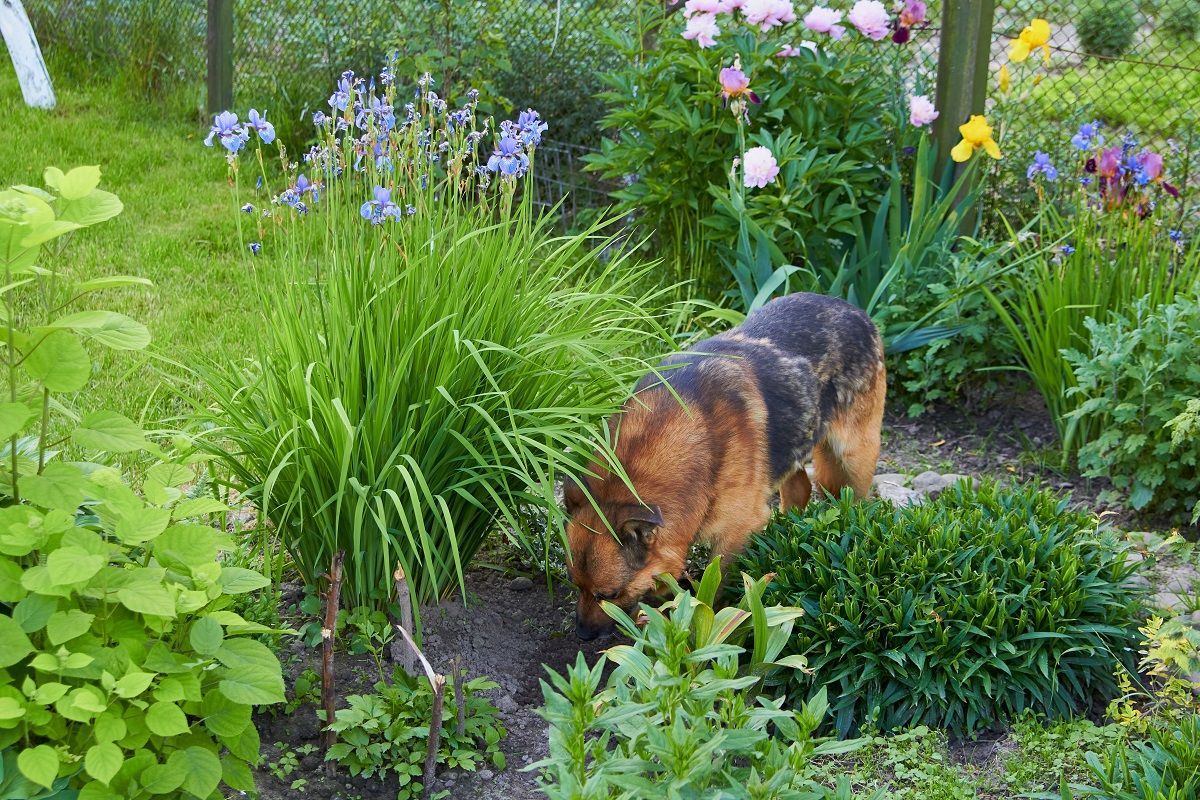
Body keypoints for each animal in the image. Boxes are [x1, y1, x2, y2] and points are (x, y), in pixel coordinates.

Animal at [566, 292, 888, 638]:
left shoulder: (737, 530)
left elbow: (715, 583)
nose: (581, 634)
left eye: (609, 595)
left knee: (854, 498)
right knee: (800, 486)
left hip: (854, 455)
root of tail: (851, 308)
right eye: (575, 585)